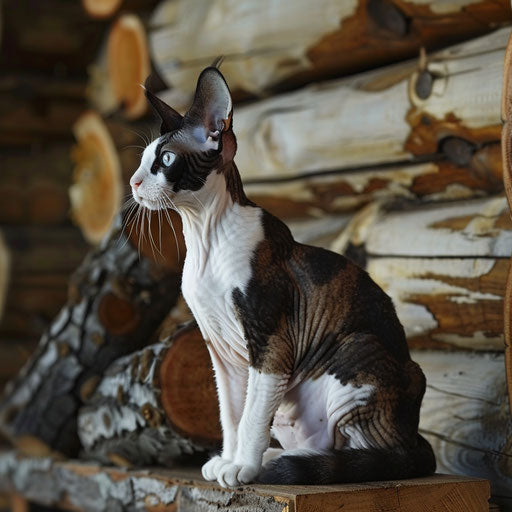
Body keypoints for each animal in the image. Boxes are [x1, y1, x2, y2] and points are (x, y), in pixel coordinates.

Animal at [129, 66, 436, 486]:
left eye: (166, 158)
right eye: (142, 161)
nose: (133, 182)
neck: (204, 238)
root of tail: (416, 434)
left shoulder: (271, 344)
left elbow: (251, 417)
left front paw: (241, 467)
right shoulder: (220, 352)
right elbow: (231, 415)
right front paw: (227, 460)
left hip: (358, 351)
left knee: (374, 455)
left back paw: (284, 465)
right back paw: (281, 458)